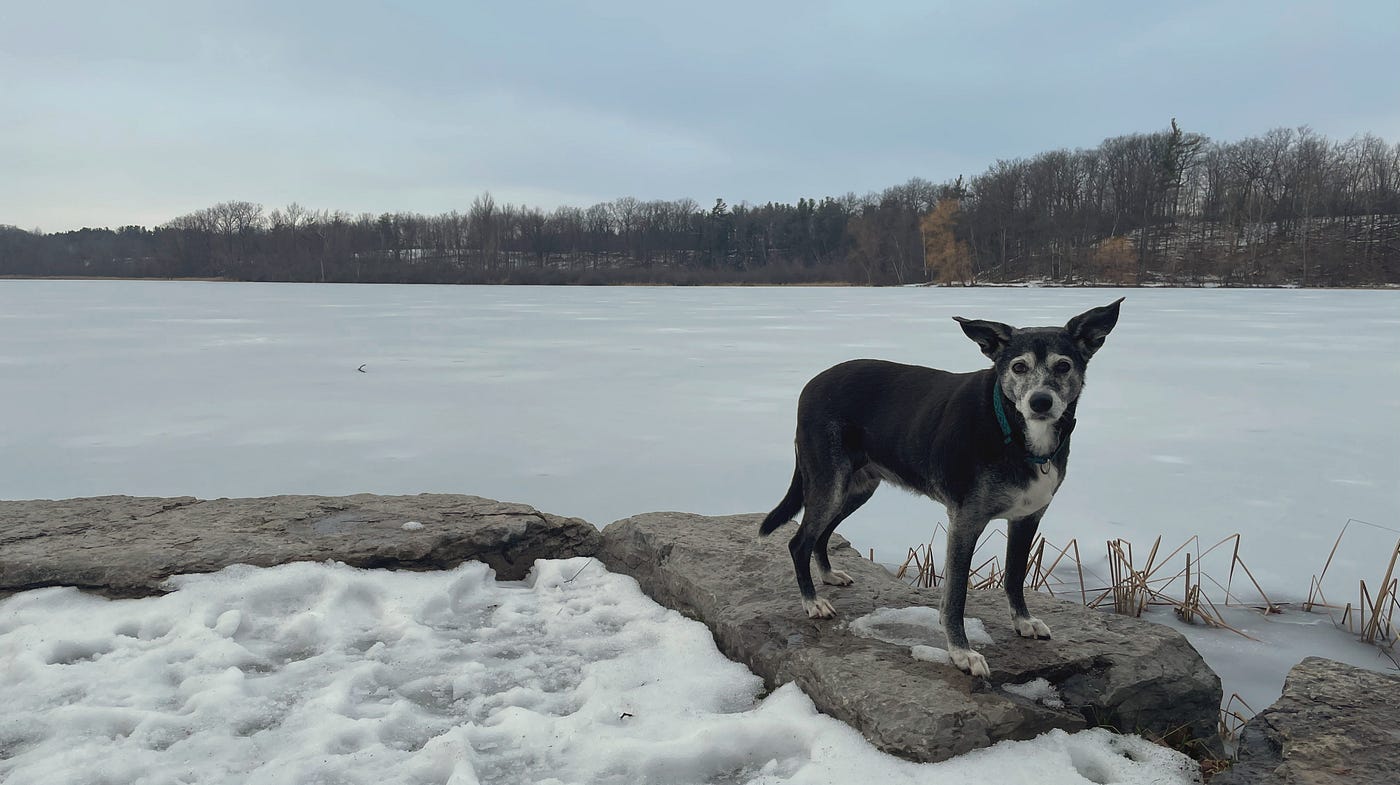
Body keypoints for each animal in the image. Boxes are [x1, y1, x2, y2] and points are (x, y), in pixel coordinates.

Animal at [761, 296, 1120, 677]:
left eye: (1063, 365)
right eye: (1019, 367)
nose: (1040, 401)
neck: (1009, 427)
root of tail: (812, 384)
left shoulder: (1027, 518)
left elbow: (1014, 576)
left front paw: (1023, 622)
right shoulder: (965, 521)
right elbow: (956, 596)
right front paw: (961, 652)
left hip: (856, 488)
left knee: (822, 534)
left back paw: (829, 576)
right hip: (830, 483)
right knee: (800, 541)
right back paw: (813, 602)